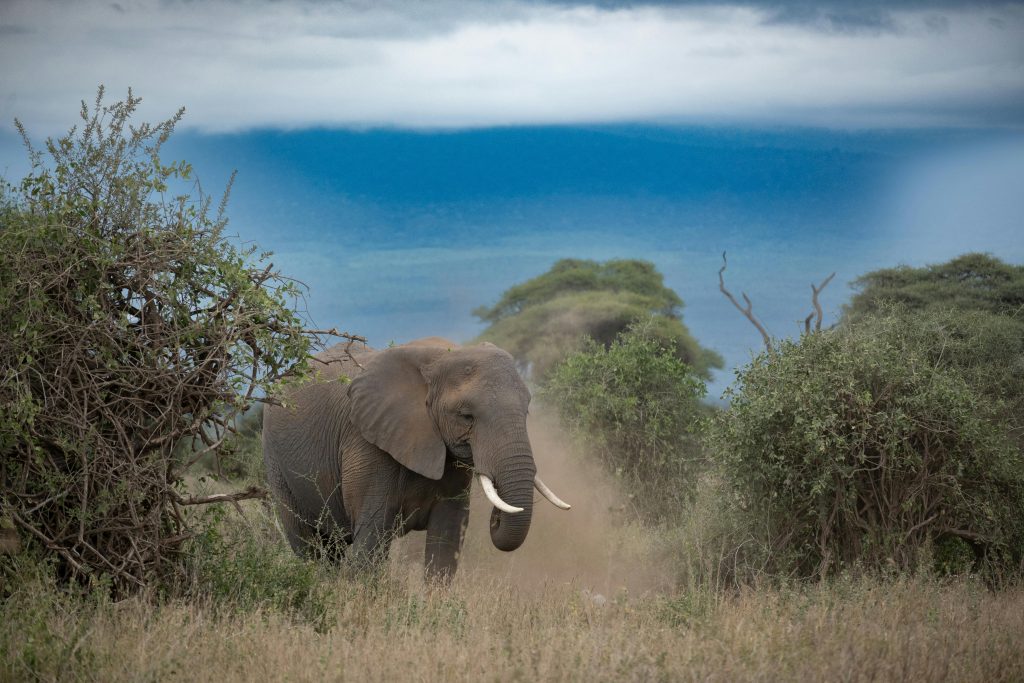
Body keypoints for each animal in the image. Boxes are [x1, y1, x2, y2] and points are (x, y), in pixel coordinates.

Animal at [262, 337, 570, 581]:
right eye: (466, 416)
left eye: (527, 410)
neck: (436, 359)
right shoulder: (367, 443)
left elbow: (447, 538)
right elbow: (372, 536)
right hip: (276, 465)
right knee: (311, 546)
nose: (496, 519)